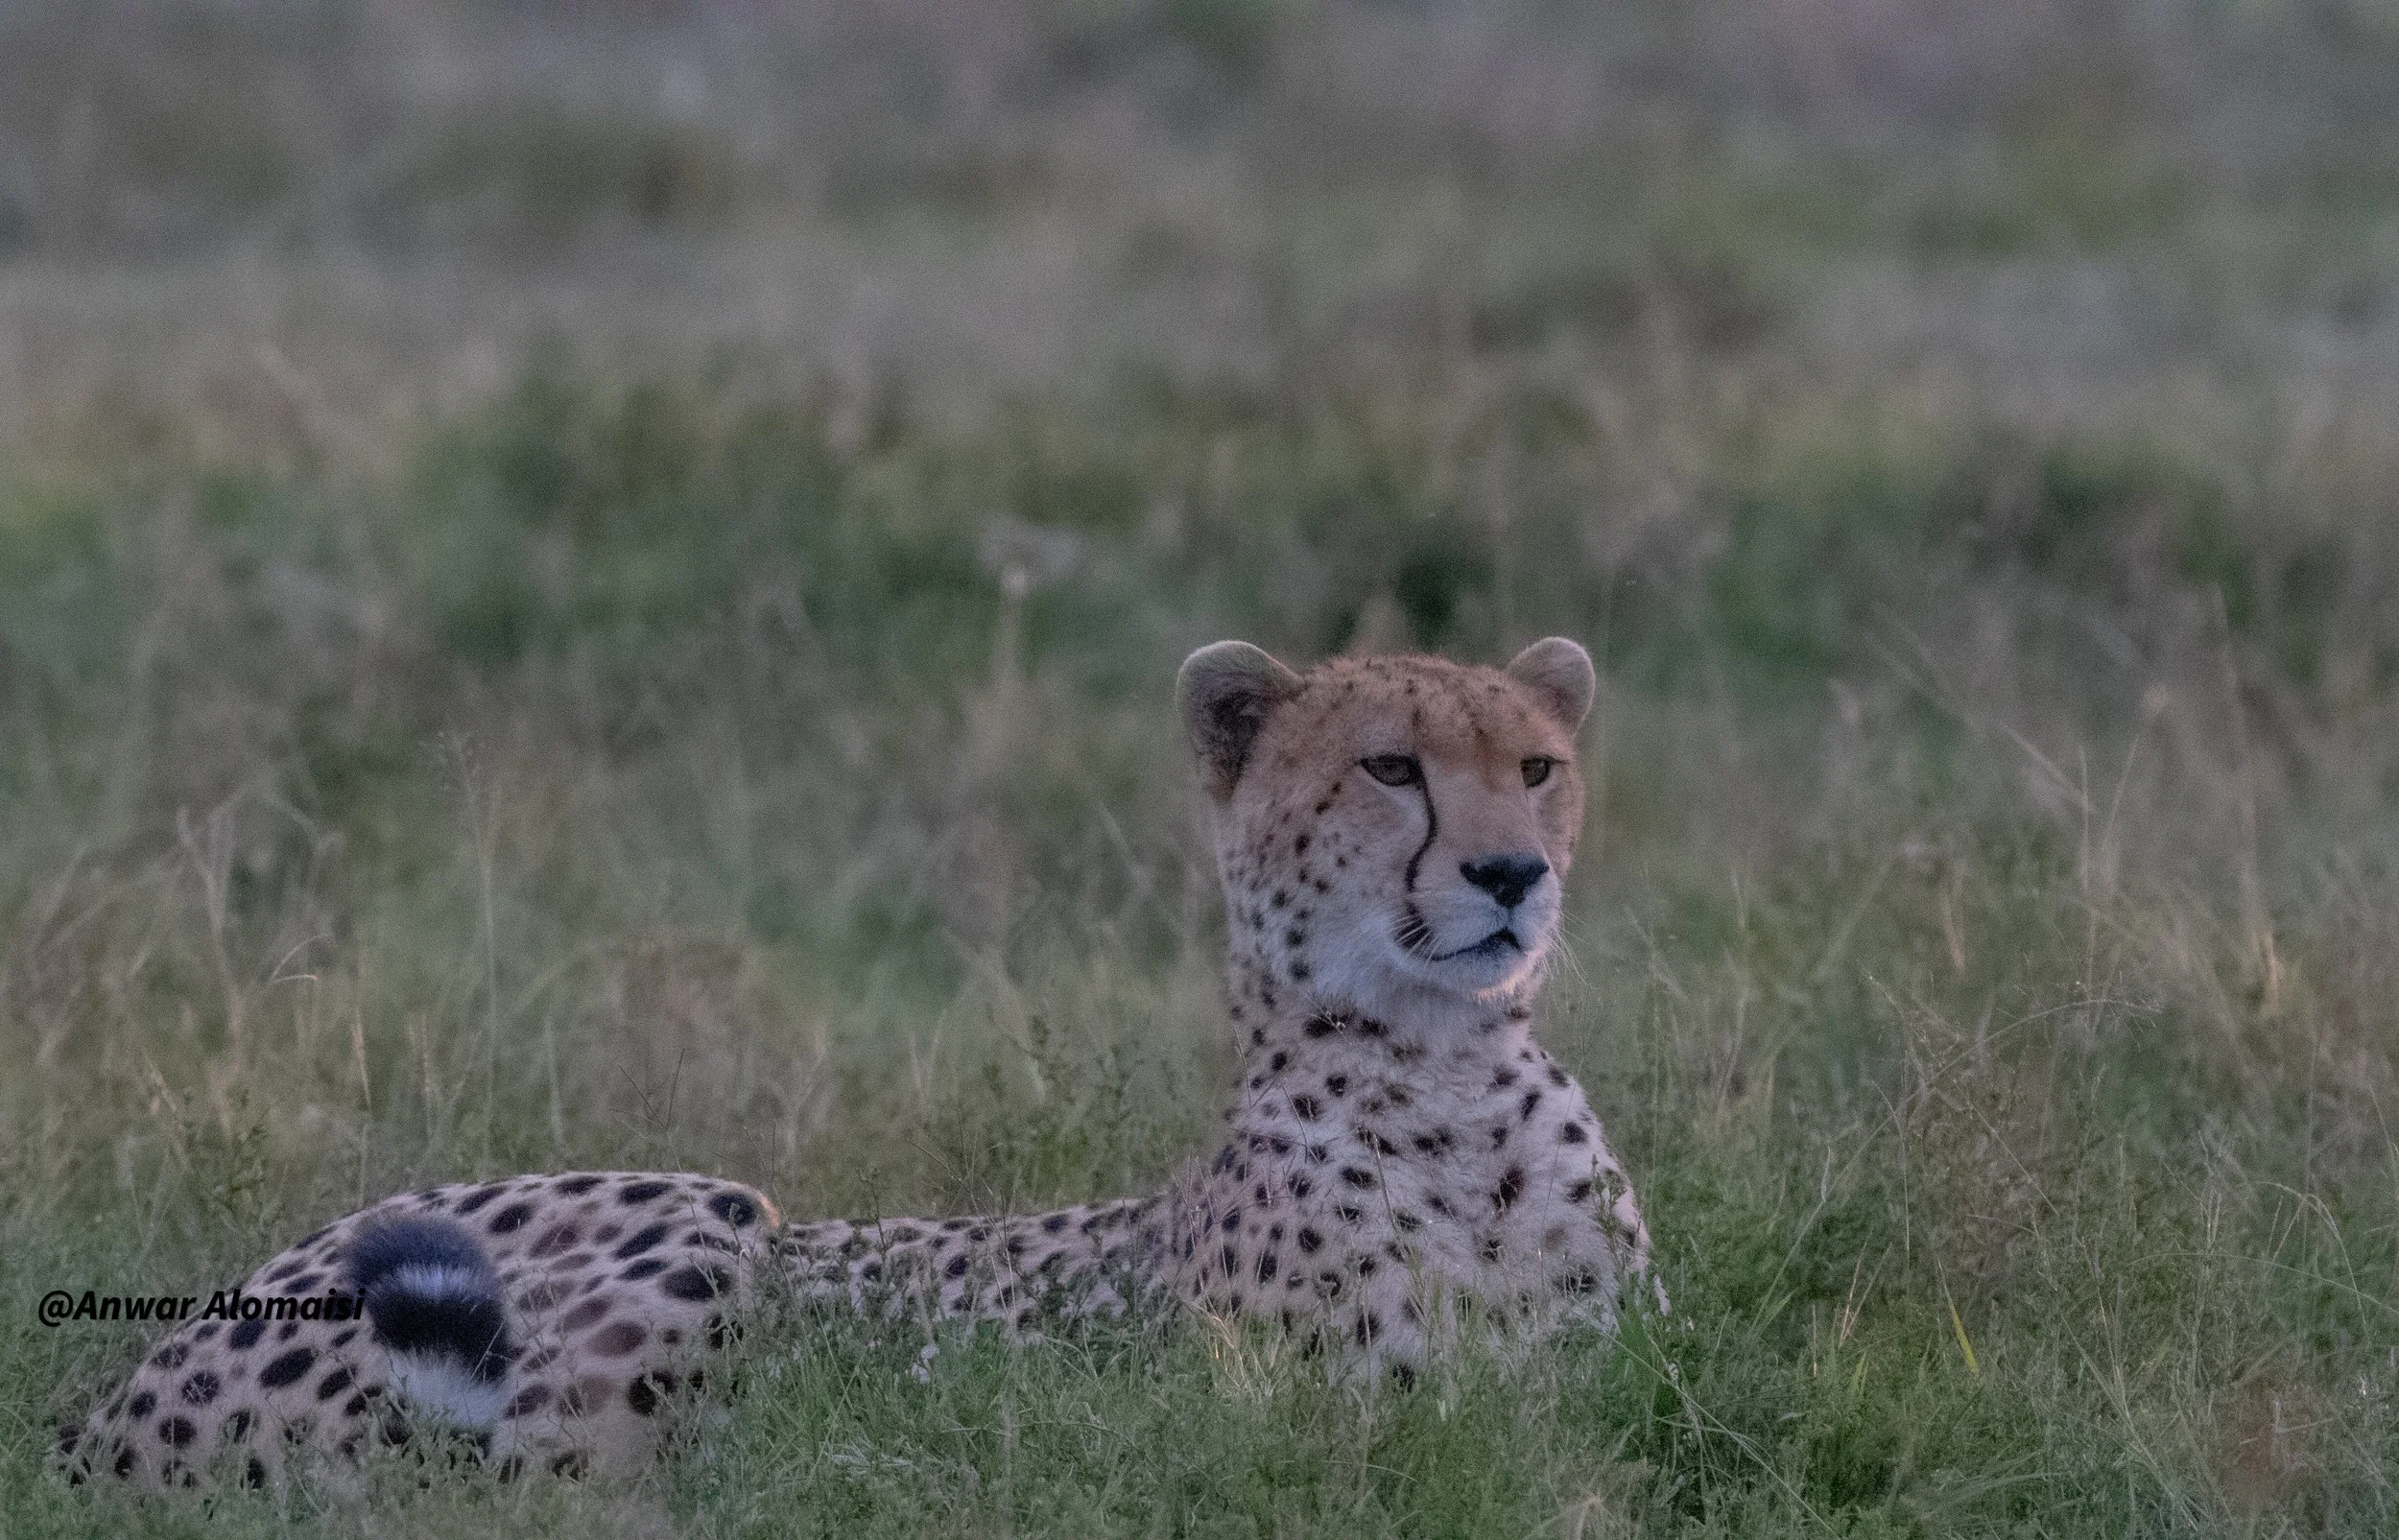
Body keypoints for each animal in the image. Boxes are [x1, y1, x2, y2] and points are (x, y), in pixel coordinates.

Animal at [58, 636, 1661, 1490]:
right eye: (1391, 767)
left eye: (1535, 767)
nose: (1513, 874)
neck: (1448, 1077)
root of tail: (104, 1412)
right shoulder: (1335, 1421)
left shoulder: (1594, 1392)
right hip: (706, 1219)